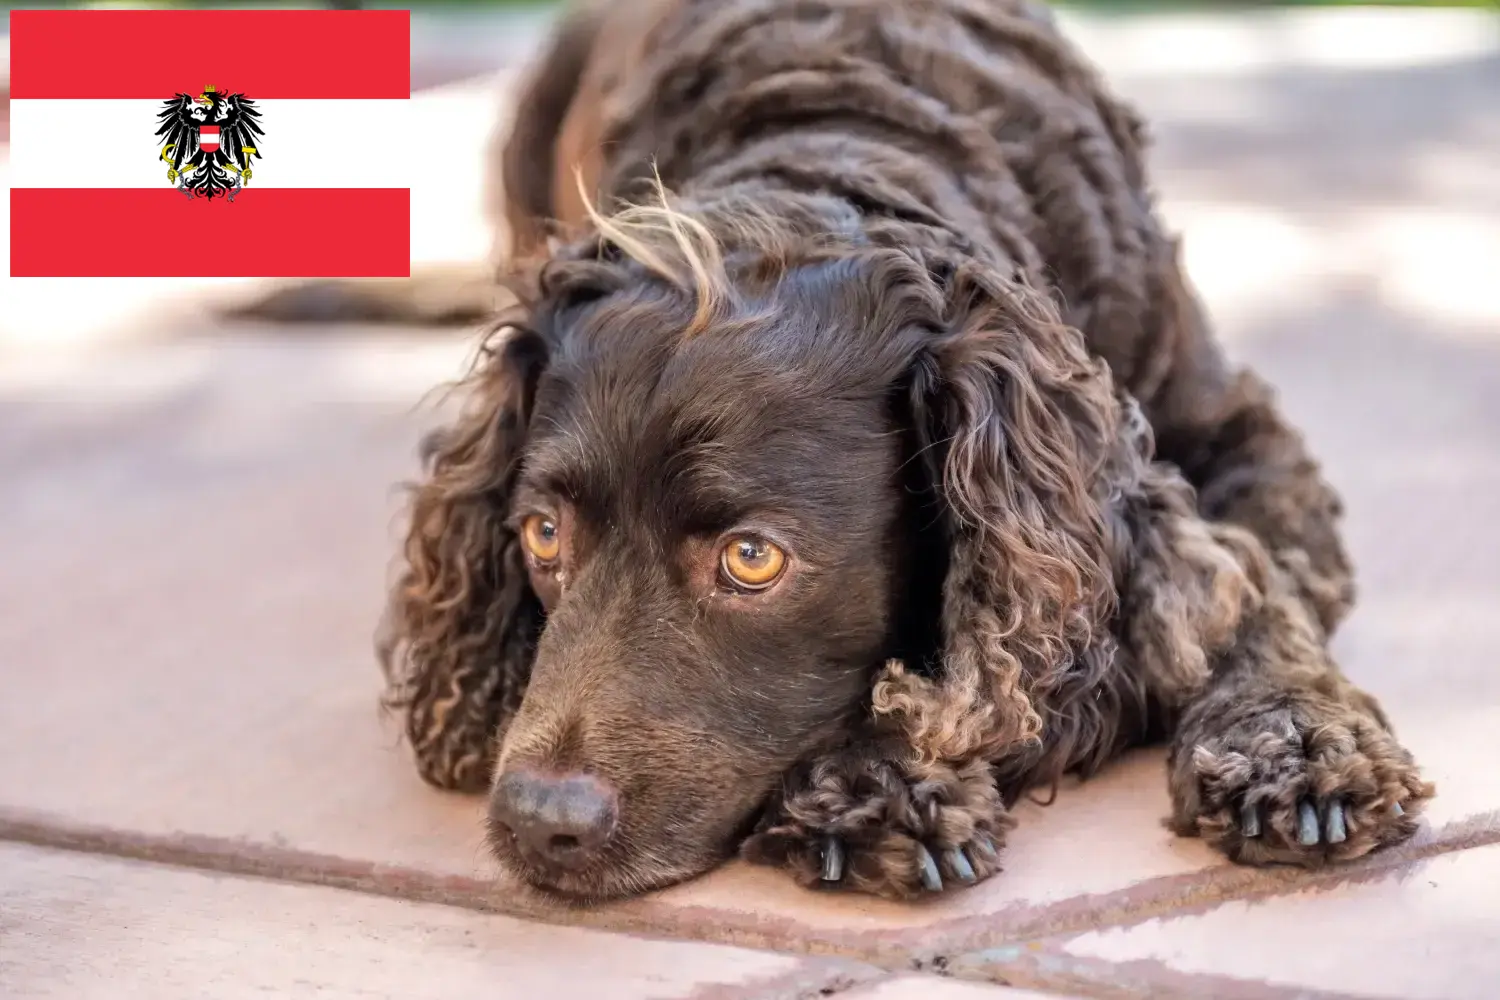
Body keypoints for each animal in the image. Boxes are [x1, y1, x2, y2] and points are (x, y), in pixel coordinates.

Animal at [372, 0, 1428, 905]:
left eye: (752, 558)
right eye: (543, 536)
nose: (537, 821)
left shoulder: (1241, 442)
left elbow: (1256, 593)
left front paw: (1295, 743)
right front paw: (880, 778)